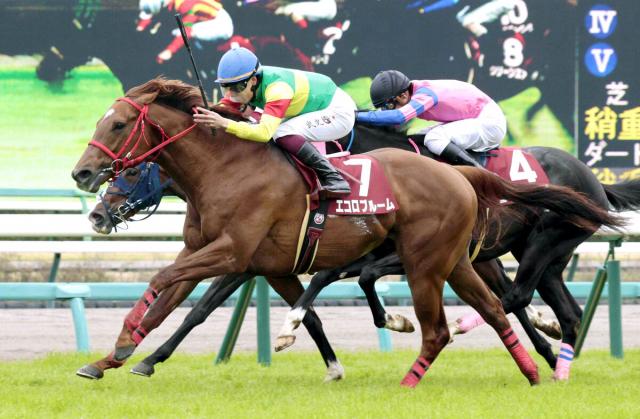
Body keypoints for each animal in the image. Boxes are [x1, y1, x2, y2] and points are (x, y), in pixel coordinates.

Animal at [70, 78, 616, 388]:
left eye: (118, 125)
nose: (84, 178)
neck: (226, 168)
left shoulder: (235, 254)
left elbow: (182, 297)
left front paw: (133, 351)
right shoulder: (240, 257)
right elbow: (173, 299)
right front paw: (112, 358)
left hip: (489, 252)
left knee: (508, 299)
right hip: (481, 257)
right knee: (520, 304)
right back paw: (545, 362)